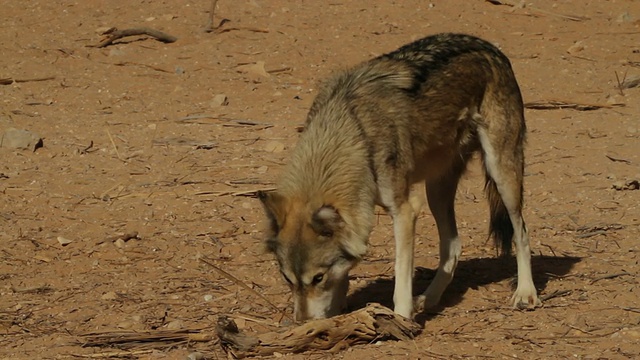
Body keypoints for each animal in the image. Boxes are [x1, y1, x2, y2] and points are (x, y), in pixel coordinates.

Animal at [258, 33, 544, 320]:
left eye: (318, 278)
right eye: (287, 279)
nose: (301, 322)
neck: (354, 133)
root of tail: (491, 48)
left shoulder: (405, 210)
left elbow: (401, 280)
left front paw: (402, 319)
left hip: (501, 175)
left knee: (522, 233)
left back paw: (525, 292)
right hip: (436, 191)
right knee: (453, 247)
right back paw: (428, 299)